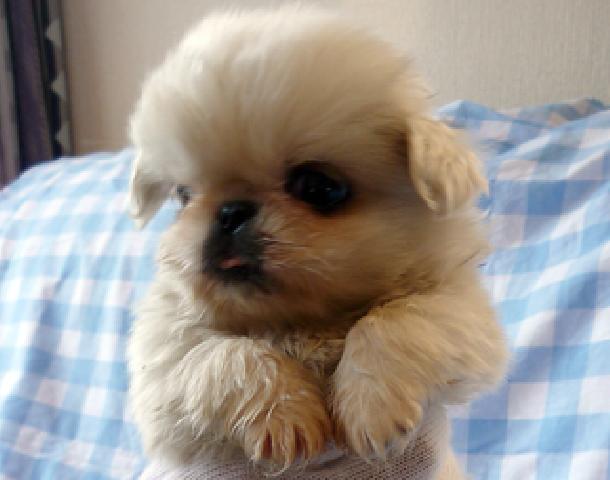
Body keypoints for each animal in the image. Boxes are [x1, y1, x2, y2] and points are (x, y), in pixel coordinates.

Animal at [127, 5, 508, 478]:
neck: (301, 324)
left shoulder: (461, 312)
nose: (230, 211)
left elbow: (393, 321)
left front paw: (370, 408)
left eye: (319, 187)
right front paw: (285, 416)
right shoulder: (162, 366)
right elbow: (226, 353)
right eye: (183, 196)